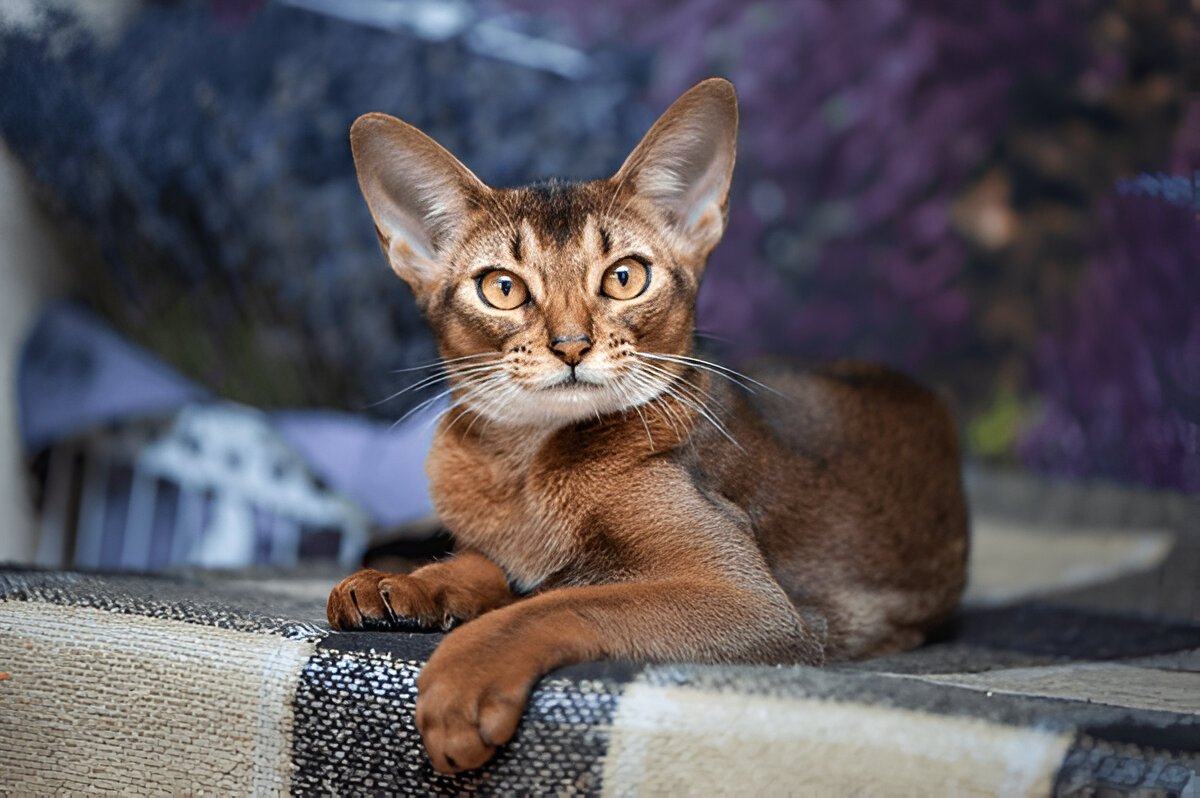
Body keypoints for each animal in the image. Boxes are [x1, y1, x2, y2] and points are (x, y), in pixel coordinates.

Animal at [331, 76, 974, 772]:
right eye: (502, 288)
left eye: (624, 277)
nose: (571, 345)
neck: (522, 468)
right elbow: (486, 564)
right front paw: (404, 583)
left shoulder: (747, 601)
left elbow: (560, 600)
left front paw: (463, 673)